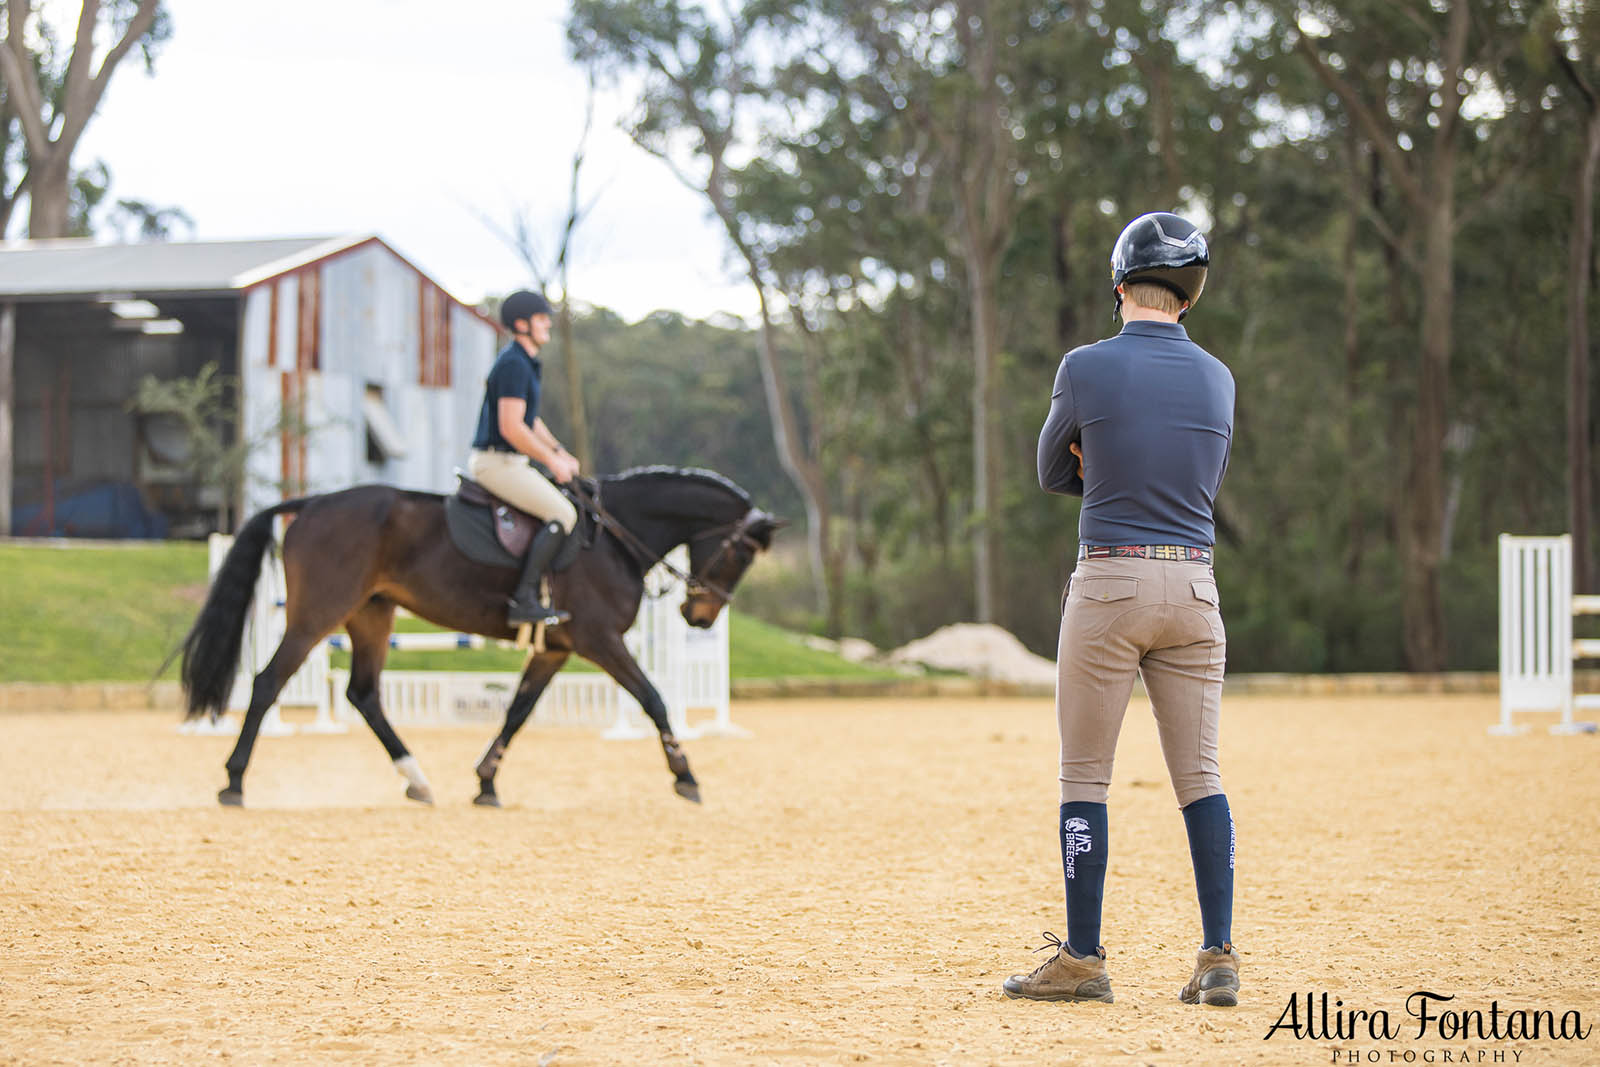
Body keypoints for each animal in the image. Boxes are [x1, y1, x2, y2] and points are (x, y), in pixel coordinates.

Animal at [181, 467, 780, 809]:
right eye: (741, 555)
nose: (700, 617)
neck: (613, 536)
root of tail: (309, 504)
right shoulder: (599, 639)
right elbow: (653, 698)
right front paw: (686, 775)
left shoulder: (556, 649)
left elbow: (517, 712)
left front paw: (486, 782)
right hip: (317, 616)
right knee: (268, 682)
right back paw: (233, 782)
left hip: (372, 615)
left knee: (363, 694)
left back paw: (418, 781)